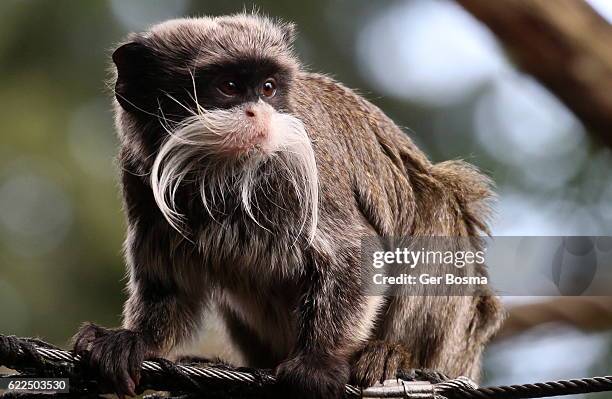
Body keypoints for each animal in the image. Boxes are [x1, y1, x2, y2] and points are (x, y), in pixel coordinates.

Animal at [71, 13, 502, 399]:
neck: (222, 174)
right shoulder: (140, 175)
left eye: (267, 88)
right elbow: (169, 279)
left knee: (439, 206)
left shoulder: (303, 167)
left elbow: (354, 251)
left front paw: (319, 362)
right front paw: (133, 339)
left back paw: (395, 354)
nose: (259, 114)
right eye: (228, 87)